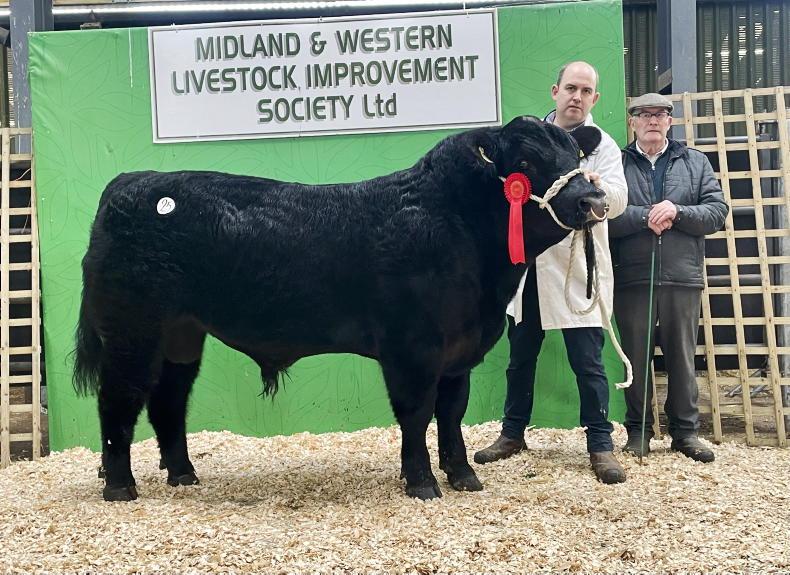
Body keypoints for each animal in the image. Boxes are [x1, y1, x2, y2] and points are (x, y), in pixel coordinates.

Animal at [73, 115, 606, 502]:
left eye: (576, 155)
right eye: (525, 160)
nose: (594, 199)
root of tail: (131, 182)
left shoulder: (459, 353)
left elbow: (451, 413)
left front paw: (463, 477)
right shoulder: (411, 349)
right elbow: (416, 414)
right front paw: (422, 483)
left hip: (181, 334)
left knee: (168, 399)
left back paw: (183, 474)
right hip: (131, 332)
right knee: (118, 401)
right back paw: (120, 487)